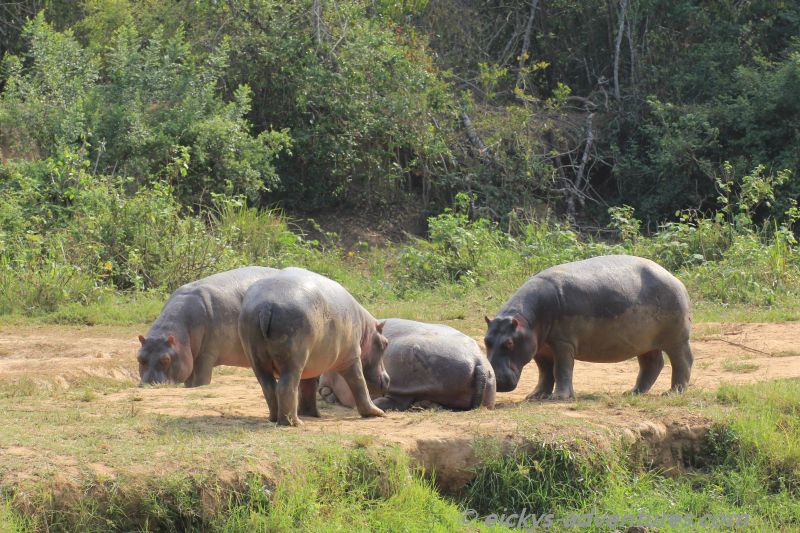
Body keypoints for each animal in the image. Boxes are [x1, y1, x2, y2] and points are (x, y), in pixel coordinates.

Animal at [138, 266, 278, 387]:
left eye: (166, 359)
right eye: (139, 358)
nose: (148, 385)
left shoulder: (206, 355)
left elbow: (201, 381)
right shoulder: (188, 357)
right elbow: (189, 383)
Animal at [238, 267, 390, 426]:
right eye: (386, 343)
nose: (388, 379)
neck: (366, 328)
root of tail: (266, 306)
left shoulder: (310, 366)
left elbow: (308, 387)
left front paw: (312, 414)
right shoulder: (352, 357)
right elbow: (360, 384)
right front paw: (377, 413)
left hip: (257, 357)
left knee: (268, 386)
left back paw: (275, 418)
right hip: (293, 359)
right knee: (286, 387)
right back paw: (294, 422)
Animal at [484, 255, 693, 400]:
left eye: (509, 343)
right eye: (486, 341)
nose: (495, 382)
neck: (526, 321)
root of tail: (676, 279)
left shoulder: (563, 343)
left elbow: (561, 369)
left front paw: (559, 397)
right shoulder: (540, 348)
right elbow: (545, 372)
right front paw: (536, 395)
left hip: (677, 339)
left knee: (682, 361)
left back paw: (672, 393)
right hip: (644, 342)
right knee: (652, 364)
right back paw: (632, 392)